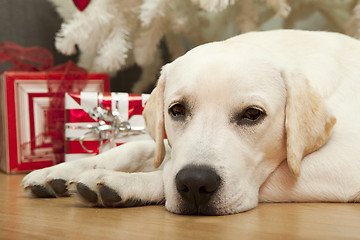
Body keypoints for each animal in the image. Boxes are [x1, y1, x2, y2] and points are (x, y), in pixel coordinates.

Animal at [21, 30, 360, 216]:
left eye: (253, 114)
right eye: (177, 110)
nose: (196, 184)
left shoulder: (344, 164)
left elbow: (163, 174)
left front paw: (124, 182)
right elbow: (138, 149)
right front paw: (60, 170)